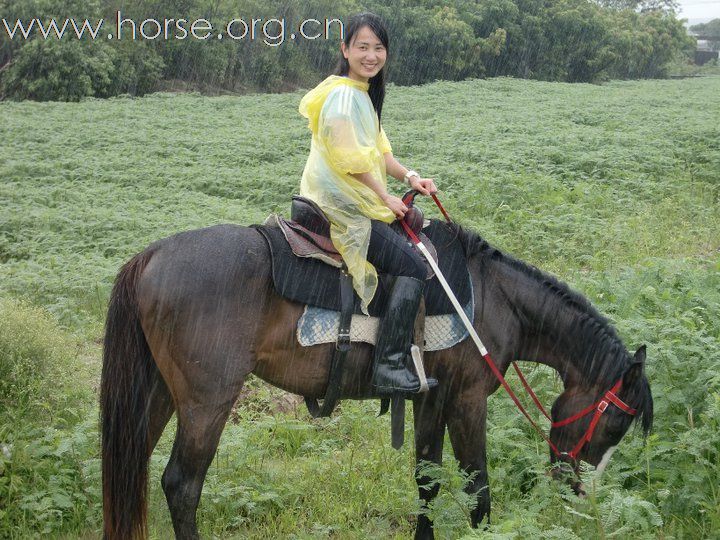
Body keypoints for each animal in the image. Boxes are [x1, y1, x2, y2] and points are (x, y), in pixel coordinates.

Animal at [98, 220, 656, 540]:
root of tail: (148, 258)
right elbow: (476, 485)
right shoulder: (468, 399)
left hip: (158, 395)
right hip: (207, 402)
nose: (577, 490)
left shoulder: (433, 398)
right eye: (613, 427)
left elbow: (427, 480)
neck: (494, 299)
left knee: (136, 469)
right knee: (182, 485)